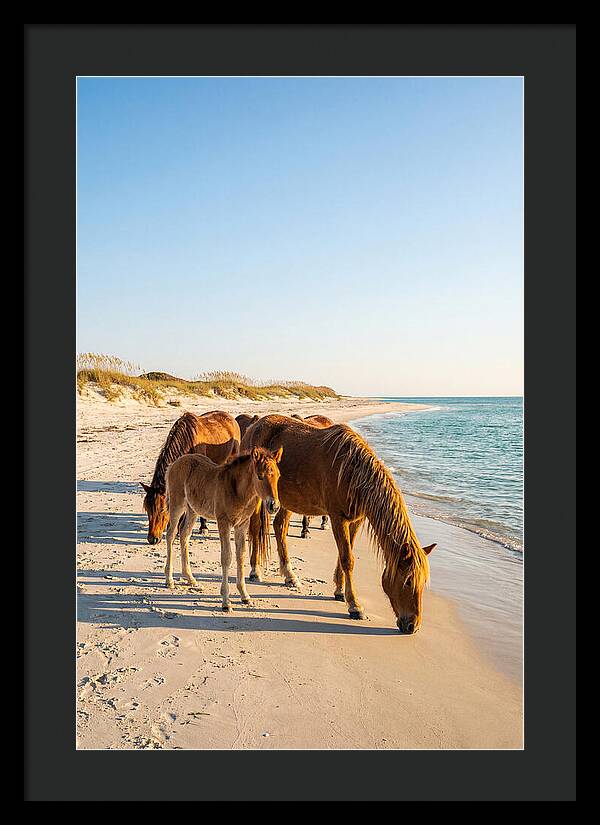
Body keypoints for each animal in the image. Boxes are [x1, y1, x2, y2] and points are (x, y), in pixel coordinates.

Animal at [141, 410, 240, 545]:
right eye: (147, 509)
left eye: (162, 509)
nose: (152, 539)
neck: (188, 441)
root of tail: (230, 418)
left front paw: (203, 527)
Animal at [165, 446, 283, 611]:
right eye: (260, 476)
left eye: (278, 476)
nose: (274, 506)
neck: (238, 491)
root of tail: (174, 463)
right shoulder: (224, 522)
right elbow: (227, 557)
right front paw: (226, 601)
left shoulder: (242, 524)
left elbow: (241, 555)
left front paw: (245, 595)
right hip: (177, 504)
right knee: (171, 534)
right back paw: (169, 580)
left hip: (193, 509)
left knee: (184, 534)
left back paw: (190, 578)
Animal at [243, 415, 436, 633]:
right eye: (408, 581)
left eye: (423, 582)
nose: (413, 626)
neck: (353, 472)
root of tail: (254, 425)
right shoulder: (337, 518)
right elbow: (347, 559)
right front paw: (355, 606)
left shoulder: (356, 520)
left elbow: (344, 554)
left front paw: (339, 591)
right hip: (259, 497)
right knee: (256, 527)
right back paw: (255, 570)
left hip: (287, 500)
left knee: (279, 527)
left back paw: (290, 576)